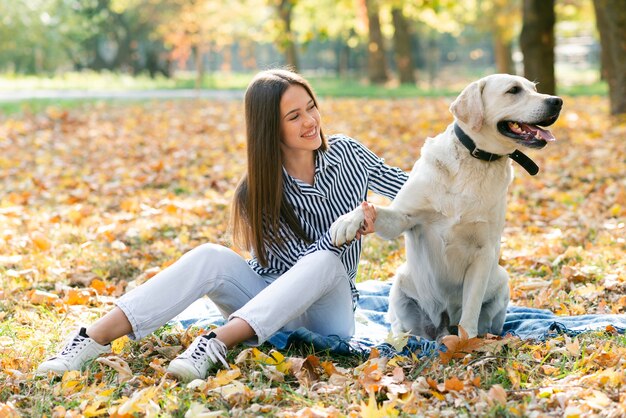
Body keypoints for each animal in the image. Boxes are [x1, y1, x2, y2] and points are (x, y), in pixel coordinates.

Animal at [332, 73, 560, 338]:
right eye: (513, 90)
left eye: (534, 88)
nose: (557, 101)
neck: (475, 158)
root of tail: (440, 327)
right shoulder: (403, 218)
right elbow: (370, 210)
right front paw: (345, 222)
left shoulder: (484, 250)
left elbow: (471, 308)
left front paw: (467, 341)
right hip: (401, 283)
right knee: (401, 327)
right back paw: (399, 339)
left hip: (501, 280)